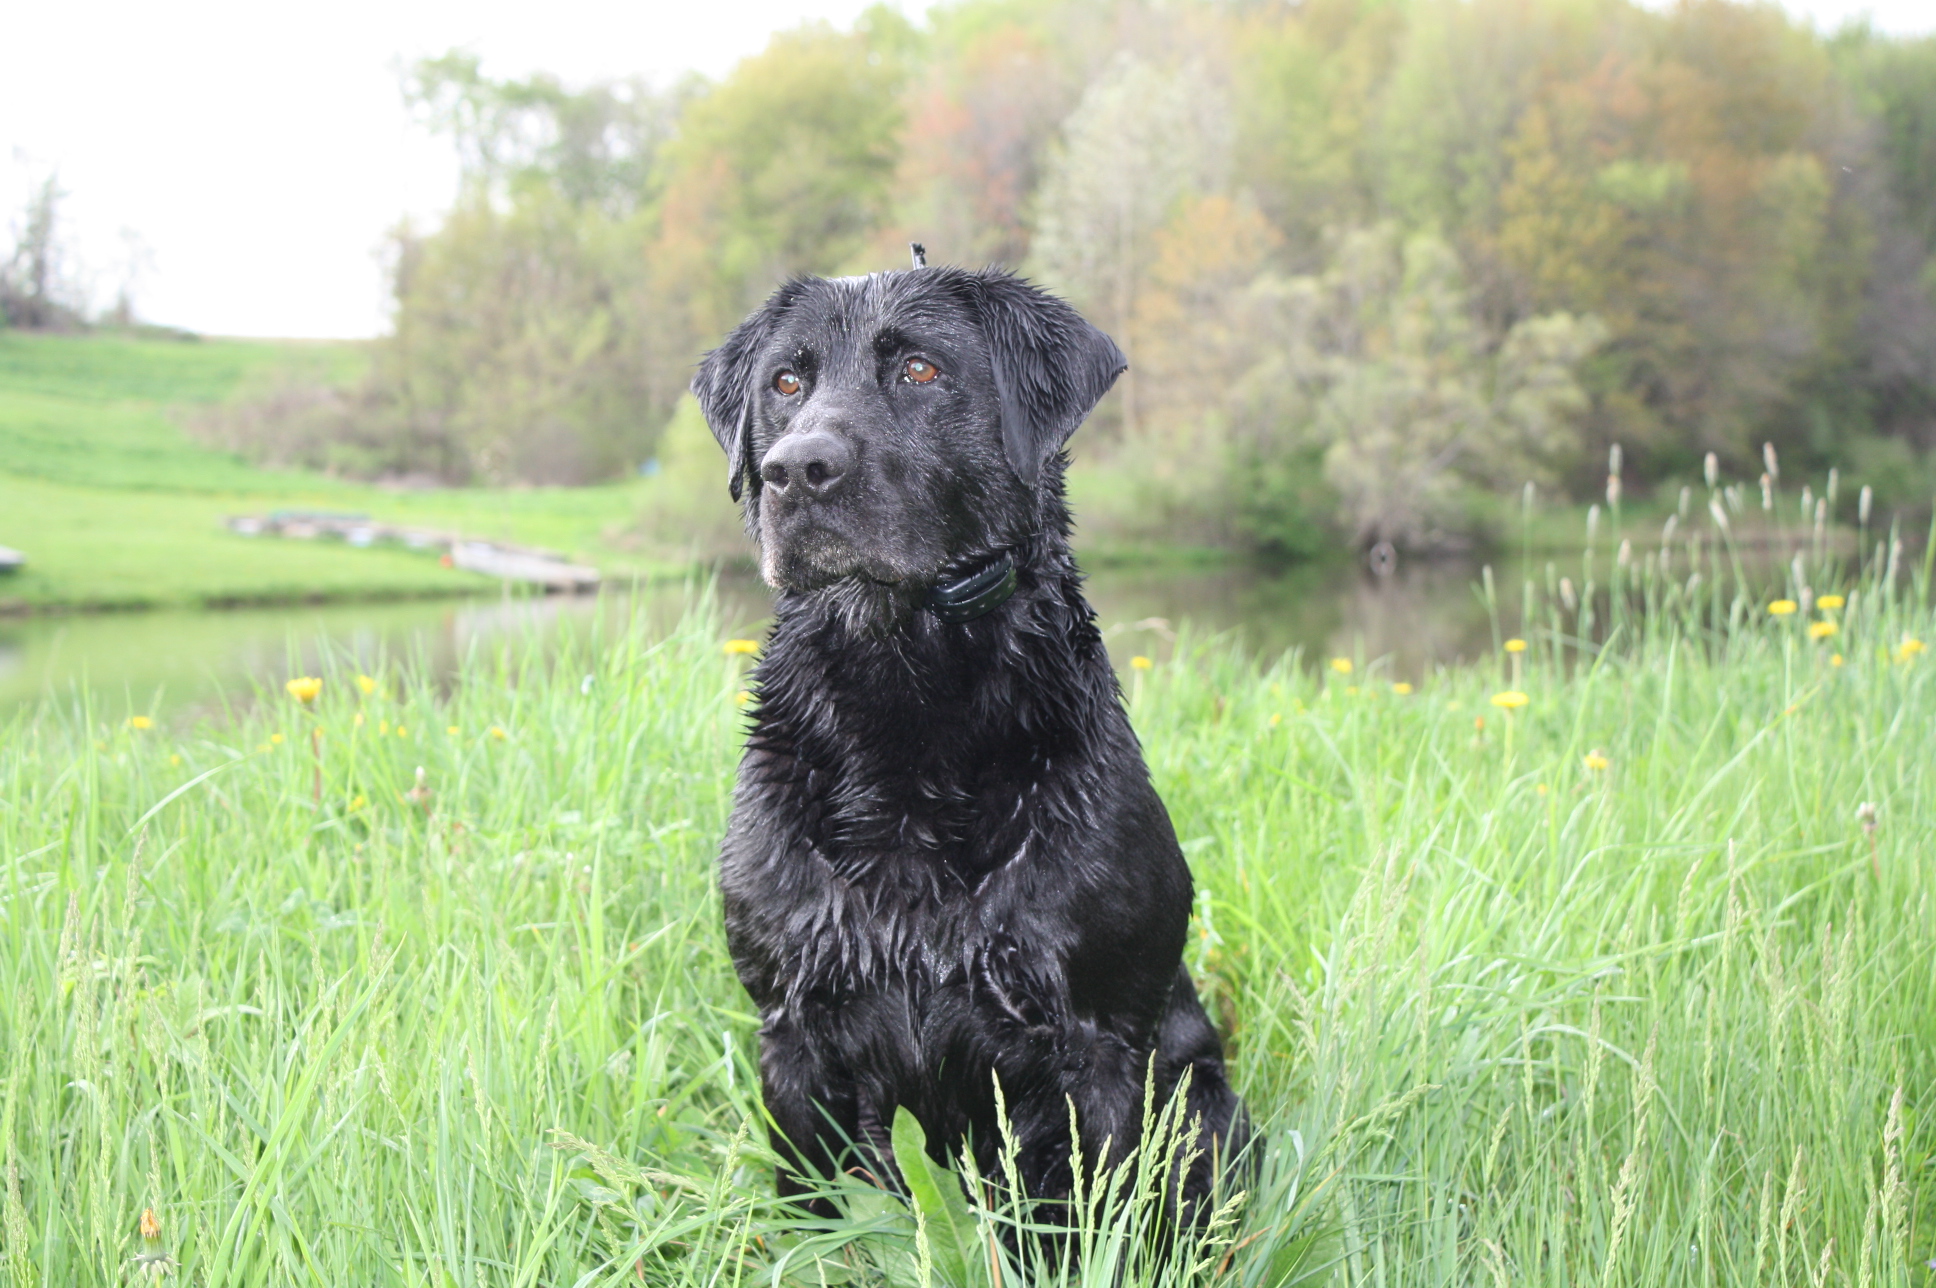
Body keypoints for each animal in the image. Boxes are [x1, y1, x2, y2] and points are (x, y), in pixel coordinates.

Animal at [689, 265, 1246, 1224]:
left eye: (920, 369)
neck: (903, 693)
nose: (797, 468)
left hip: (1203, 1100)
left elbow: (1088, 1226)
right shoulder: (792, 1034)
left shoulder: (1098, 1047)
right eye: (786, 382)